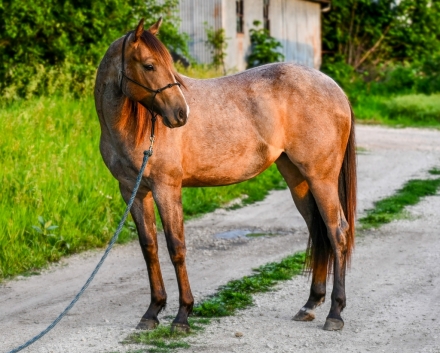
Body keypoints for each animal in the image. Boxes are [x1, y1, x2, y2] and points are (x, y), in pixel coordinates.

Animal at [94, 17, 356, 332]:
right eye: (149, 65)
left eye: (166, 64)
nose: (181, 114)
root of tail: (335, 88)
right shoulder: (133, 190)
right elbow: (149, 247)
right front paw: (152, 312)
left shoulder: (166, 188)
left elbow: (176, 247)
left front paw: (182, 315)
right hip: (298, 179)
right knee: (319, 232)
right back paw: (310, 304)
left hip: (321, 179)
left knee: (337, 232)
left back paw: (335, 312)